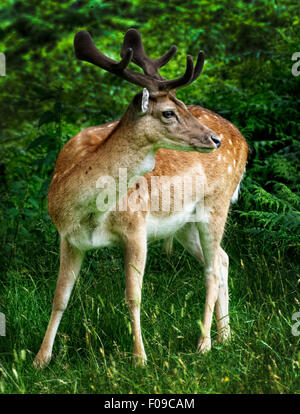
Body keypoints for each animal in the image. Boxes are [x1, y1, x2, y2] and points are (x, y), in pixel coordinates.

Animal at [33, 29, 248, 368]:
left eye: (184, 105)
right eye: (169, 112)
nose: (214, 139)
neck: (86, 208)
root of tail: (242, 140)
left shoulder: (136, 227)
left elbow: (133, 296)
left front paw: (140, 359)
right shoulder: (68, 237)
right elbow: (60, 297)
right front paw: (40, 359)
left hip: (217, 202)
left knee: (212, 269)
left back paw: (204, 344)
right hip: (184, 223)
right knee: (223, 259)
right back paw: (226, 336)